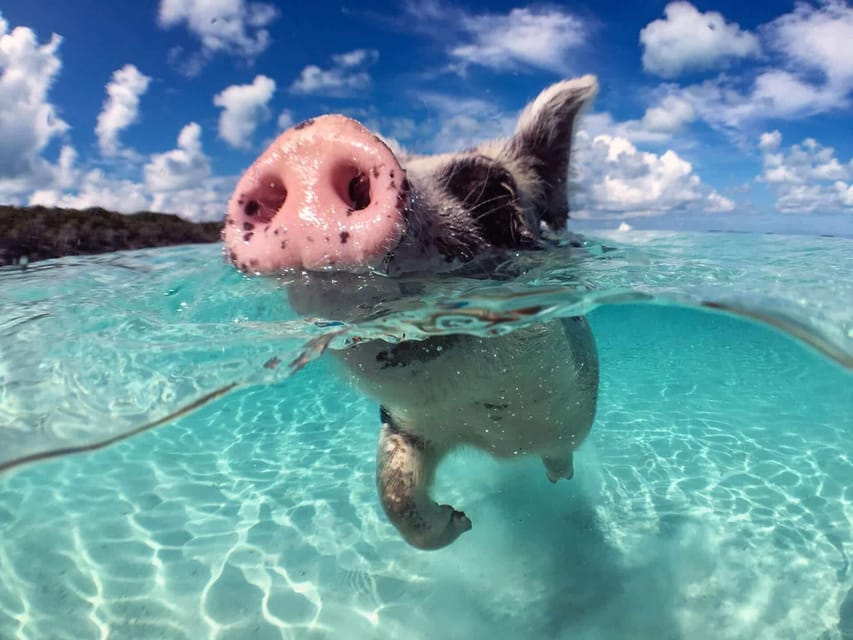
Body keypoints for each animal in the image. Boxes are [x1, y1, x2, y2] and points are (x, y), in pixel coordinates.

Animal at [223, 76, 604, 552]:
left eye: (494, 190)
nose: (311, 141)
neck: (493, 433)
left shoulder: (568, 411)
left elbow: (559, 451)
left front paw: (538, 487)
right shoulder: (404, 424)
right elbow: (394, 491)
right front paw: (461, 521)